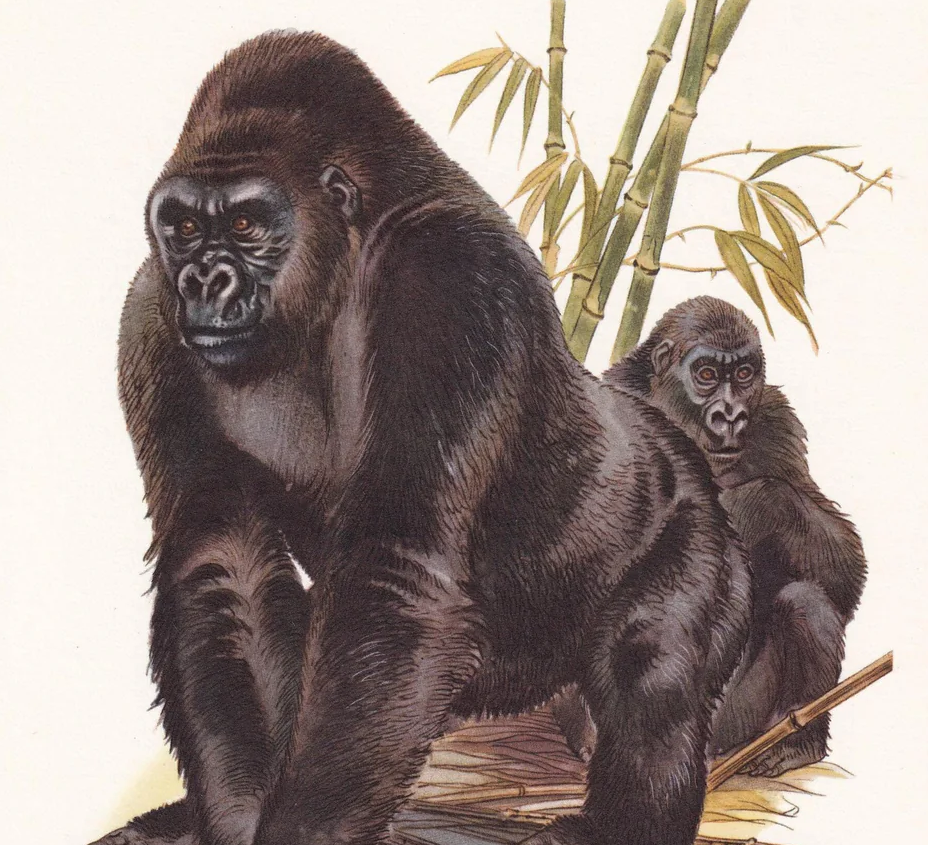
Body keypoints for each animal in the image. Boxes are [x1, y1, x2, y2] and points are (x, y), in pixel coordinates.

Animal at [92, 33, 750, 845]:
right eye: (183, 227)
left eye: (245, 225)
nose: (202, 282)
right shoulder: (151, 308)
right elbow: (221, 560)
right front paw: (235, 814)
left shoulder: (453, 277)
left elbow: (394, 562)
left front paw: (301, 828)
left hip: (703, 538)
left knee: (652, 672)